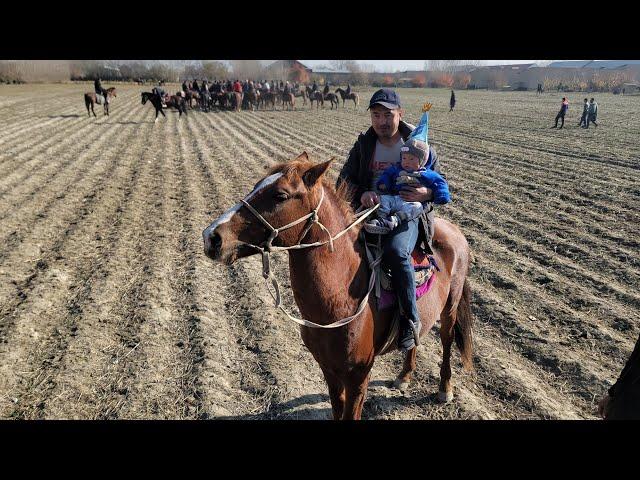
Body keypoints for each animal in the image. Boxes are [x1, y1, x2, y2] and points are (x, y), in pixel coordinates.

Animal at [202, 152, 472, 418]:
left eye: (280, 195)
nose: (212, 237)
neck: (341, 297)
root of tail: (453, 230)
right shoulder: (328, 370)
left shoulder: (358, 377)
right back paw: (404, 376)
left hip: (450, 307)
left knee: (447, 340)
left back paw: (445, 388)